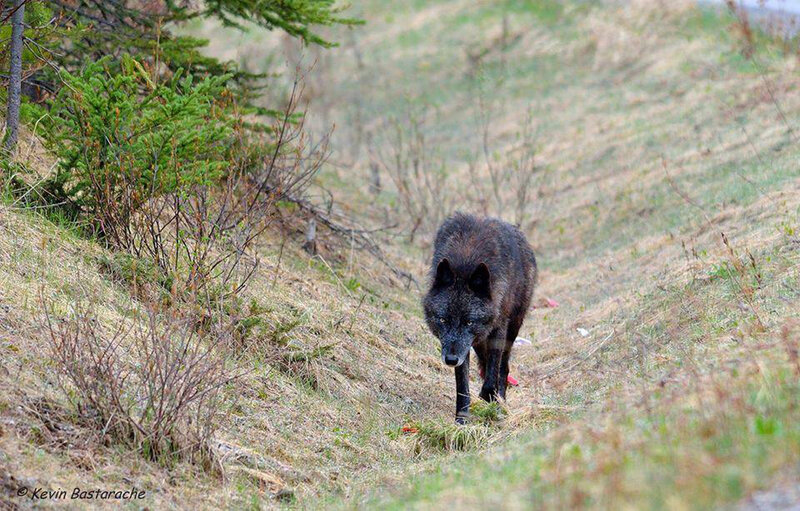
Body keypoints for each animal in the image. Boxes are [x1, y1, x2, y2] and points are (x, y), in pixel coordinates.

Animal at [423, 213, 537, 423]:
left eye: (469, 321)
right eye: (443, 320)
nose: (450, 360)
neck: (465, 262)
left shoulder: (498, 330)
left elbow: (493, 374)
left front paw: (490, 401)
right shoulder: (463, 347)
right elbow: (463, 386)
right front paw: (461, 420)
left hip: (511, 330)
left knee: (503, 368)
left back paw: (500, 403)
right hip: (478, 341)